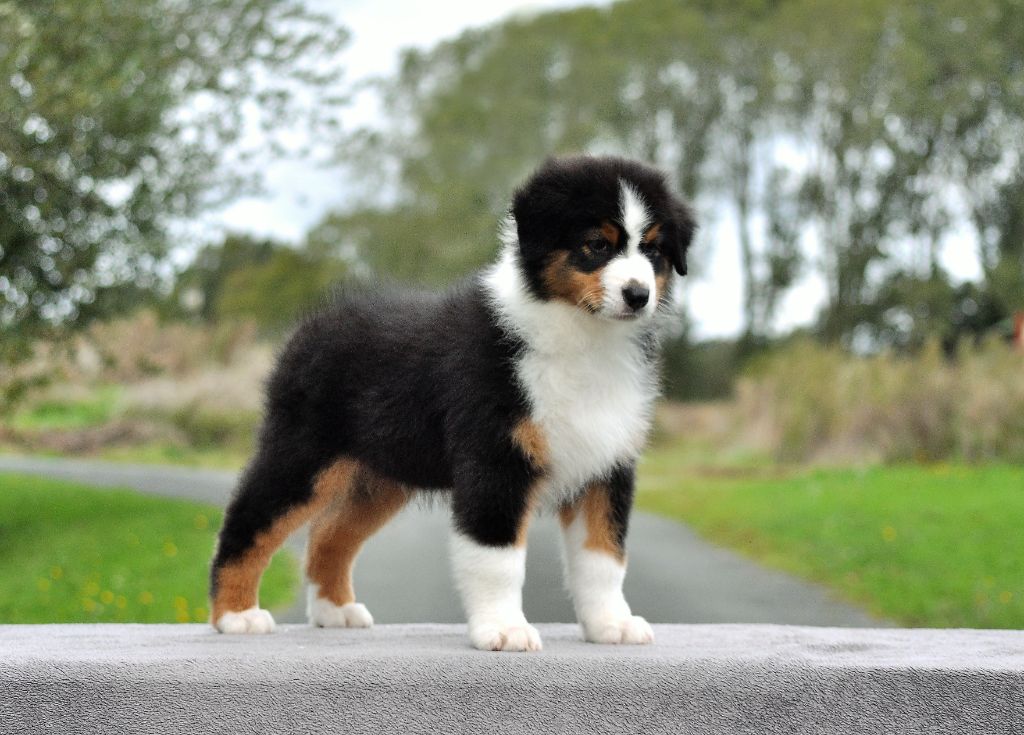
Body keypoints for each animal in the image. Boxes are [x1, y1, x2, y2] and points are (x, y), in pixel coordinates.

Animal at [205, 155, 696, 651]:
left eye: (654, 251)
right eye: (596, 244)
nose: (638, 295)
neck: (583, 336)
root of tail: (313, 324)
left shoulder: (606, 465)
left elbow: (603, 558)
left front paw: (611, 625)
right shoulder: (495, 460)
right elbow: (498, 560)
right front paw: (504, 629)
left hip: (382, 475)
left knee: (329, 535)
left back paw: (335, 610)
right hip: (304, 454)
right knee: (249, 521)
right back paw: (236, 614)